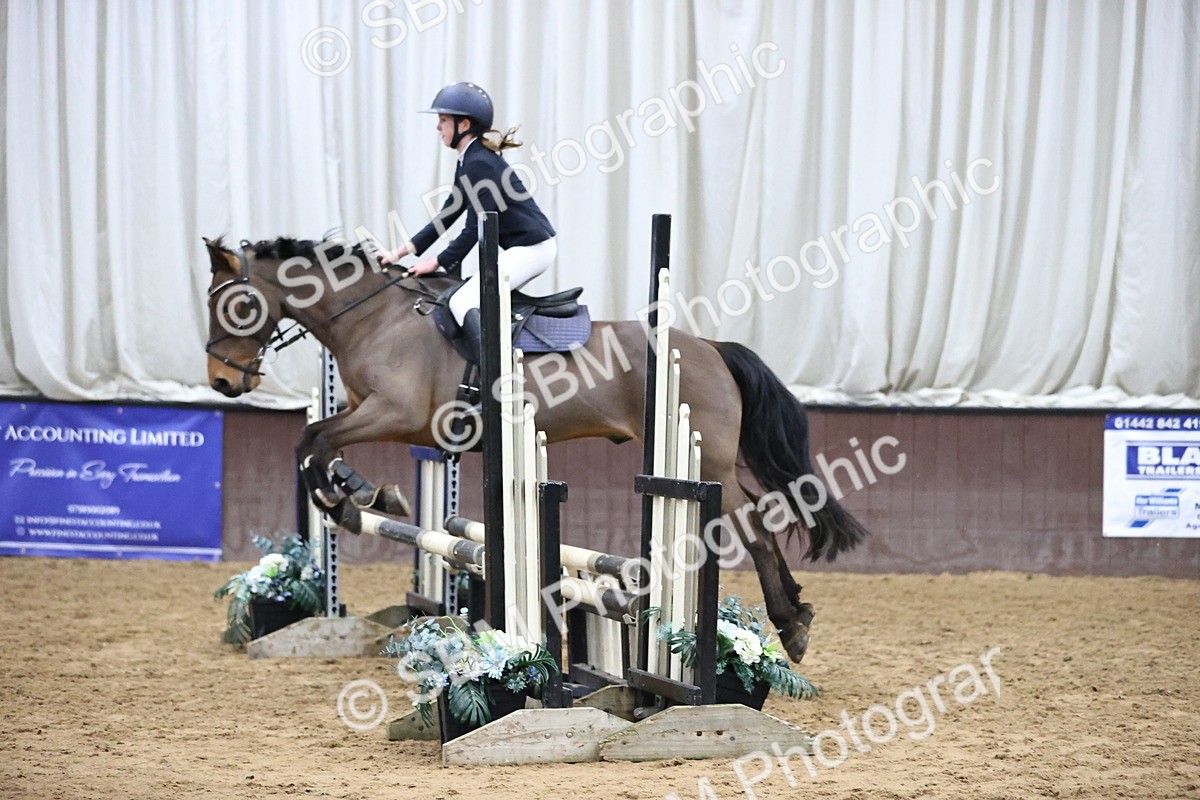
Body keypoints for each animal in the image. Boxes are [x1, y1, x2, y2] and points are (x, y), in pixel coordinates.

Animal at [202, 235, 868, 662]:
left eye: (235, 303)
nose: (223, 382)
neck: (376, 318)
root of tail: (709, 347)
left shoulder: (398, 415)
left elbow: (315, 442)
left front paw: (349, 501)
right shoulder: (371, 413)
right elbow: (313, 441)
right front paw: (364, 494)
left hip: (710, 464)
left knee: (754, 523)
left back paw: (790, 626)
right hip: (717, 460)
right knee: (768, 512)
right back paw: (796, 614)